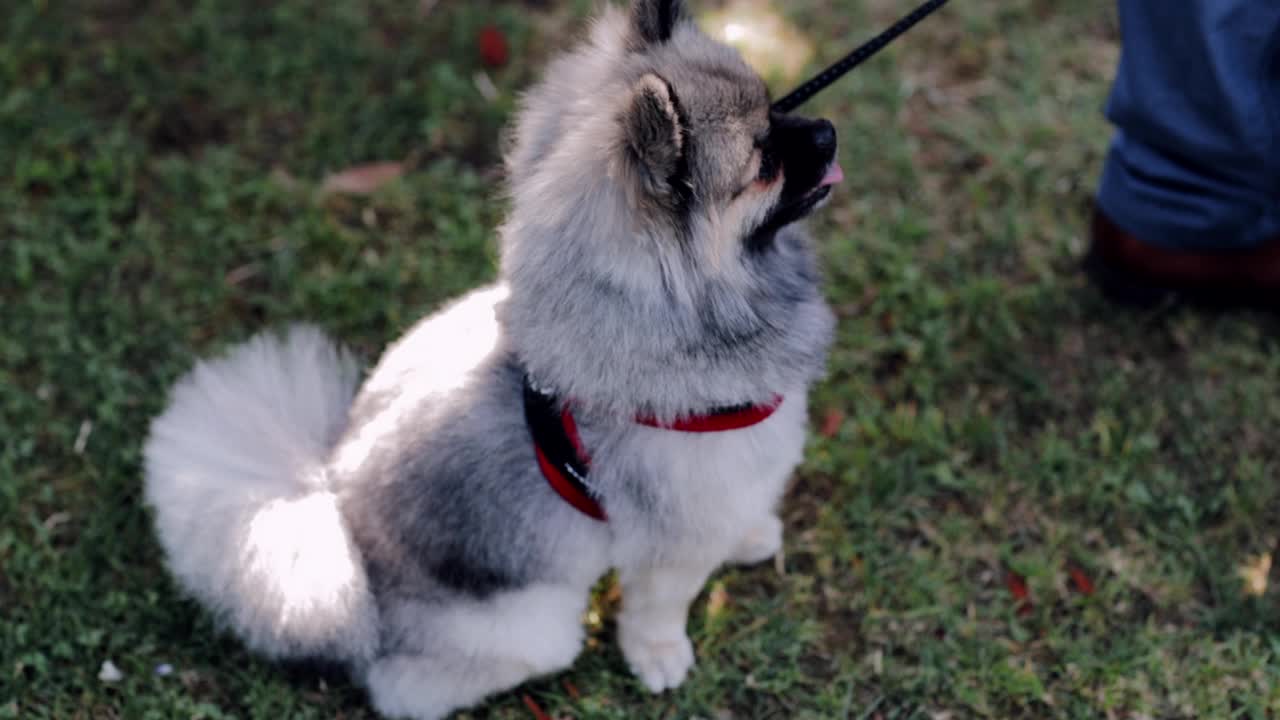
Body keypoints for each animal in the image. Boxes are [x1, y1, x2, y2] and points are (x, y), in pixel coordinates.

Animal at [142, 2, 839, 712]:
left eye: (776, 105)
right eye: (761, 159)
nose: (829, 131)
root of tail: (337, 517)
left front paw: (751, 535)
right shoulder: (673, 543)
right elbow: (660, 608)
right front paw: (660, 657)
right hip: (537, 627)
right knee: (403, 686)